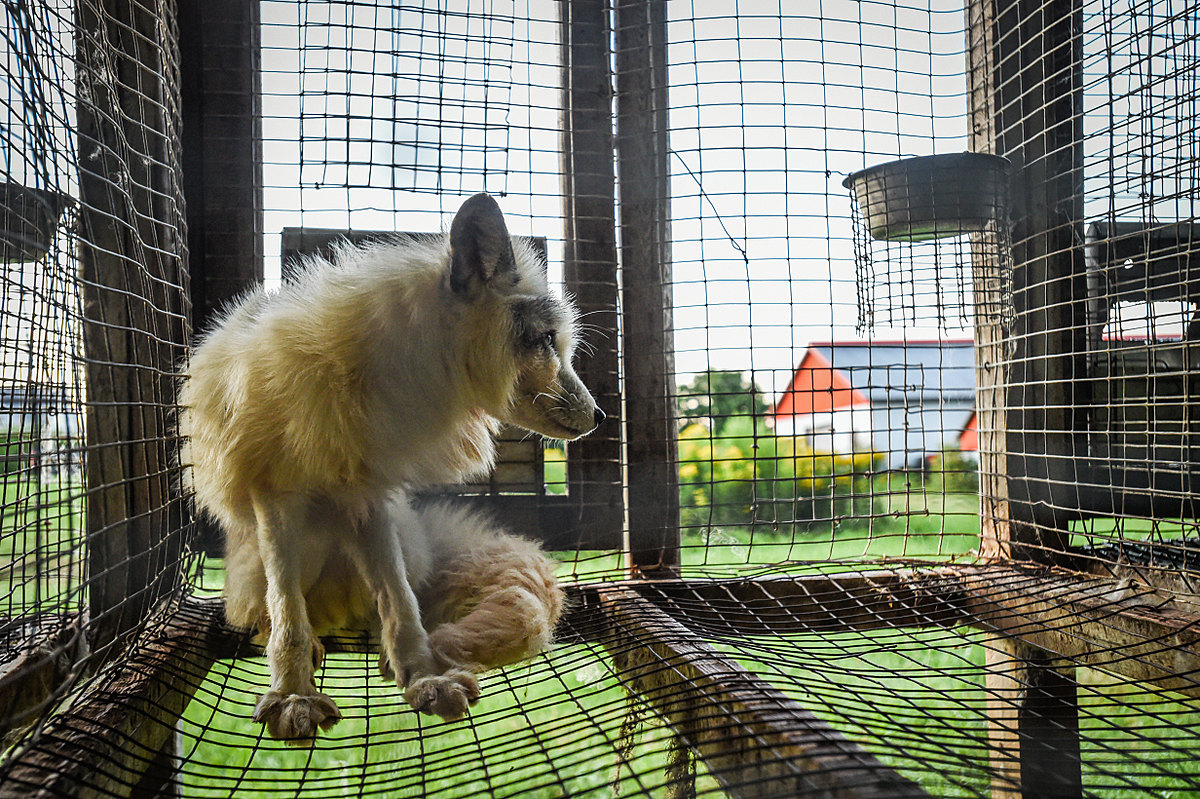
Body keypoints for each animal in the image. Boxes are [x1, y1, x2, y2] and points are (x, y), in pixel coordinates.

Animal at [180, 193, 600, 739]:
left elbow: (402, 604)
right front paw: (293, 692)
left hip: (404, 544)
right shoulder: (275, 496)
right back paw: (310, 646)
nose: (601, 416)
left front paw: (421, 676)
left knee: (391, 606)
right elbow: (287, 612)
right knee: (272, 612)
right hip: (289, 553)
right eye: (547, 340)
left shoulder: (368, 499)